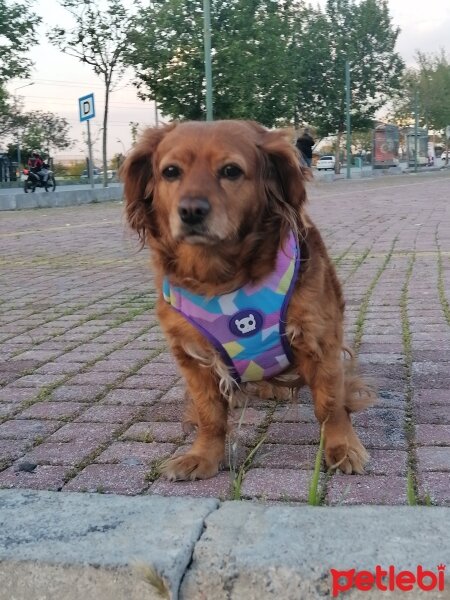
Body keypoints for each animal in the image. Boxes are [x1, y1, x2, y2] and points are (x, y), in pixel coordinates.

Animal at [121, 119, 374, 480]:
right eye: (170, 171)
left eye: (231, 170)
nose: (191, 211)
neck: (223, 279)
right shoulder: (192, 355)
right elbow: (209, 414)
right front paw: (203, 456)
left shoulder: (319, 339)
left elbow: (329, 404)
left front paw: (342, 448)